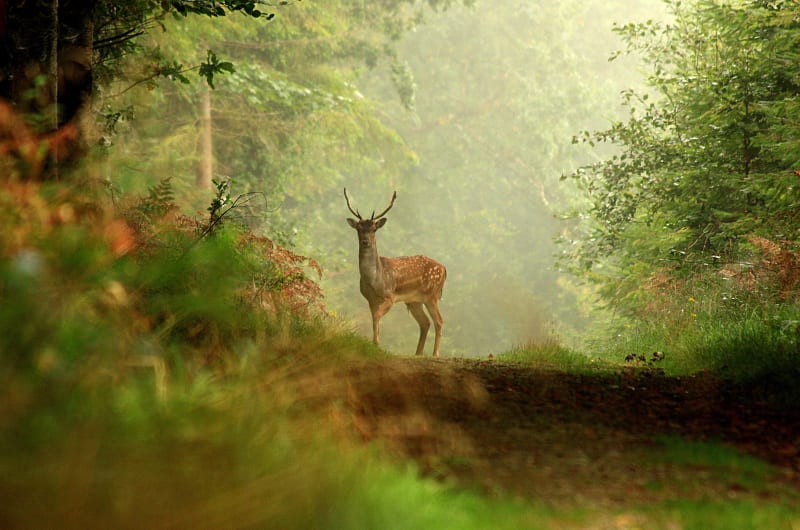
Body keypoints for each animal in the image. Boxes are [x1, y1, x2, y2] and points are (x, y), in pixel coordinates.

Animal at [344, 188, 447, 357]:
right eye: (359, 228)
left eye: (374, 229)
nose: (365, 241)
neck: (374, 280)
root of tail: (444, 269)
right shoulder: (370, 299)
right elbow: (374, 317)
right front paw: (375, 344)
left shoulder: (390, 296)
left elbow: (377, 316)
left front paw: (376, 344)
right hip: (414, 300)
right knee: (425, 322)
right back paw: (417, 353)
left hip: (432, 294)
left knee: (438, 321)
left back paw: (435, 354)